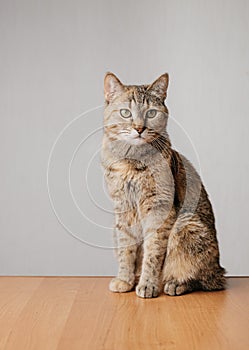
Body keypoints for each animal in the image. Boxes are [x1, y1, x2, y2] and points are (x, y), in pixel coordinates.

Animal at [101, 72, 226, 298]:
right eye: (125, 113)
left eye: (151, 113)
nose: (139, 128)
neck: (131, 161)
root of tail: (219, 270)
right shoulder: (123, 209)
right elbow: (126, 249)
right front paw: (124, 280)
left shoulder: (159, 209)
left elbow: (153, 252)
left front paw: (148, 284)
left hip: (187, 223)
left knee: (204, 279)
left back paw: (175, 284)